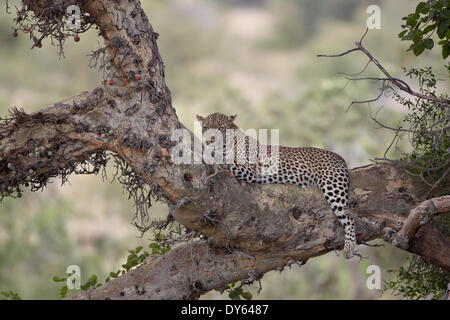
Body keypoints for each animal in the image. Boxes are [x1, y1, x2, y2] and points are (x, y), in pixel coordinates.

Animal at [197, 111, 358, 258]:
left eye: (220, 128)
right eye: (206, 127)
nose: (210, 140)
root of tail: (340, 158)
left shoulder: (248, 169)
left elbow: (226, 161)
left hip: (332, 187)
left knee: (349, 217)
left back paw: (349, 248)